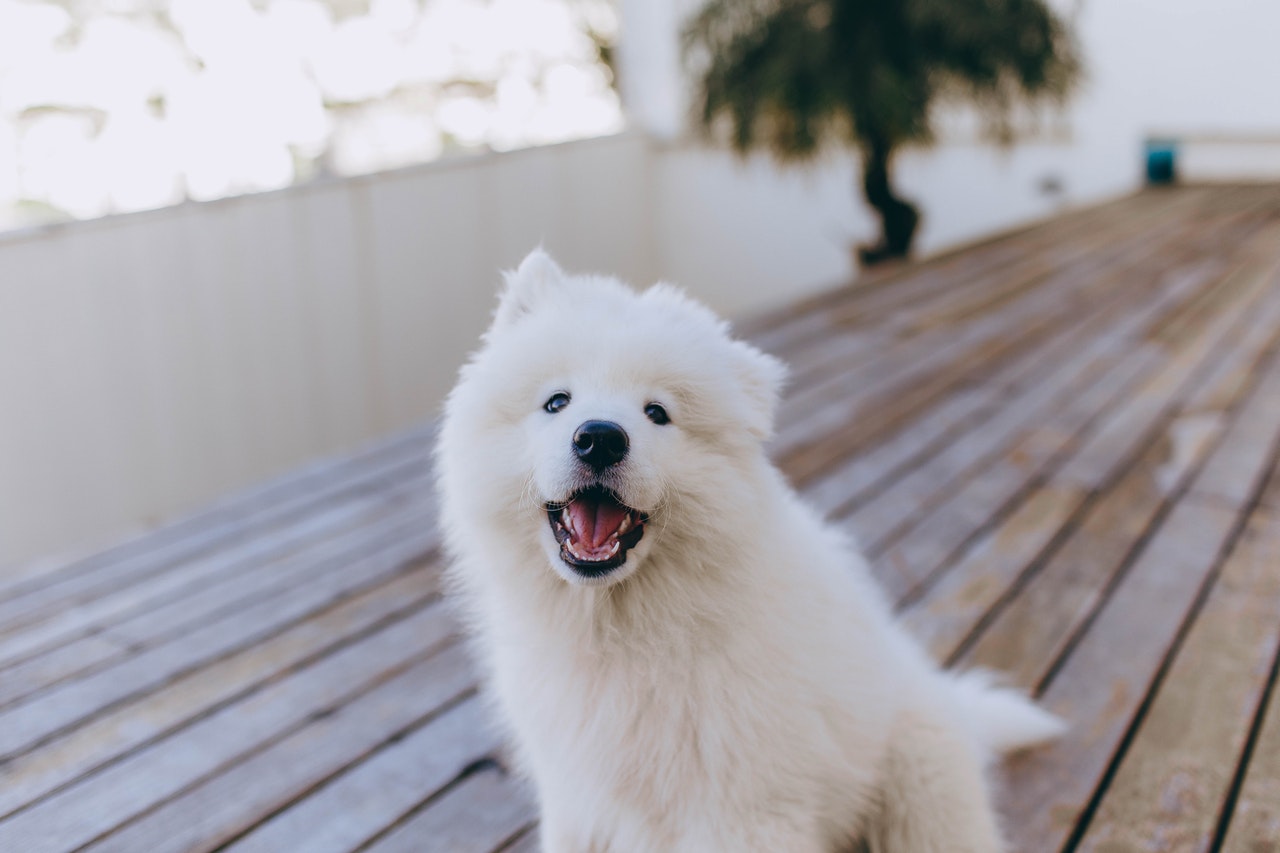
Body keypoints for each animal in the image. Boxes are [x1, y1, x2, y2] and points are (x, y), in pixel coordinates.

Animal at [435, 249, 1064, 845]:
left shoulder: (745, 810)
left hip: (919, 782)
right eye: (556, 402)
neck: (624, 630)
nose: (599, 438)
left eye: (657, 413)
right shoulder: (577, 802)